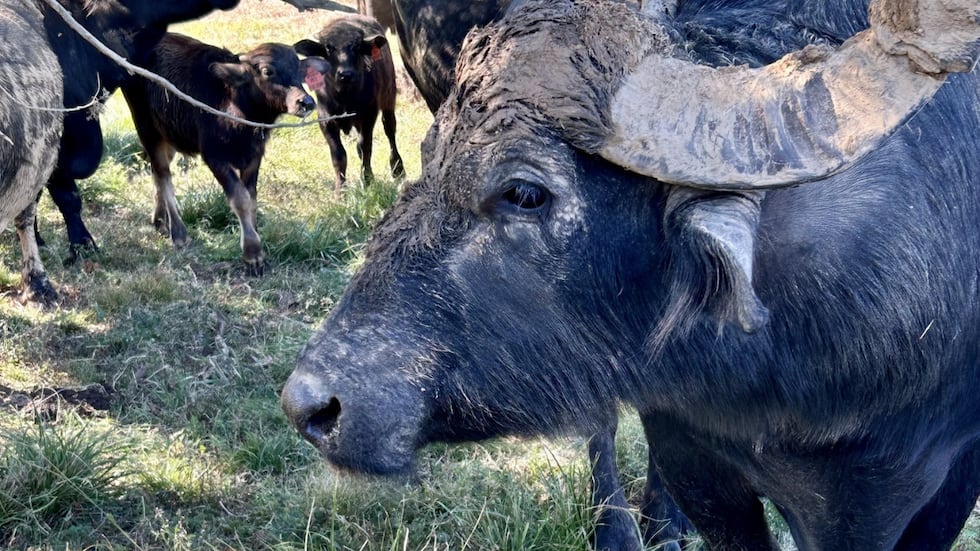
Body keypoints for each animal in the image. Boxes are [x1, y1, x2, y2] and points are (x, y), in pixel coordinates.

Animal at [121, 34, 316, 276]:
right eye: (267, 71)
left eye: (298, 68)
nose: (305, 102)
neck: (236, 107)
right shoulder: (214, 157)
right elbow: (240, 199)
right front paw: (253, 254)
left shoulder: (253, 157)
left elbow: (251, 198)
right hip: (146, 126)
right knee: (164, 175)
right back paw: (179, 233)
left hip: (170, 133)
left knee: (157, 172)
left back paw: (159, 221)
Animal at [295, 15, 405, 196]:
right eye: (329, 48)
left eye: (357, 47)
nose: (346, 74)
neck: (344, 97)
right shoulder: (326, 120)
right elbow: (339, 156)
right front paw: (340, 192)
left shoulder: (368, 115)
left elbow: (366, 148)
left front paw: (367, 181)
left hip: (389, 95)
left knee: (390, 129)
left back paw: (398, 170)